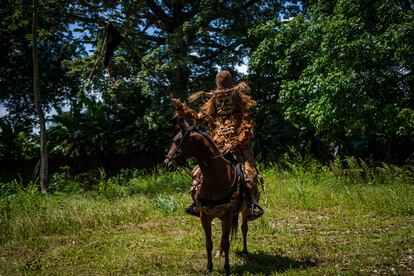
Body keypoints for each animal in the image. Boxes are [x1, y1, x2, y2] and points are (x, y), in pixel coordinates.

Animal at [163, 118, 251, 274]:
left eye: (177, 140)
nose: (166, 163)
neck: (216, 178)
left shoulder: (228, 216)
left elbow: (227, 242)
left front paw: (227, 268)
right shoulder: (205, 217)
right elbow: (209, 243)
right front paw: (209, 267)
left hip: (245, 210)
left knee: (244, 228)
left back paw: (245, 252)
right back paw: (220, 253)